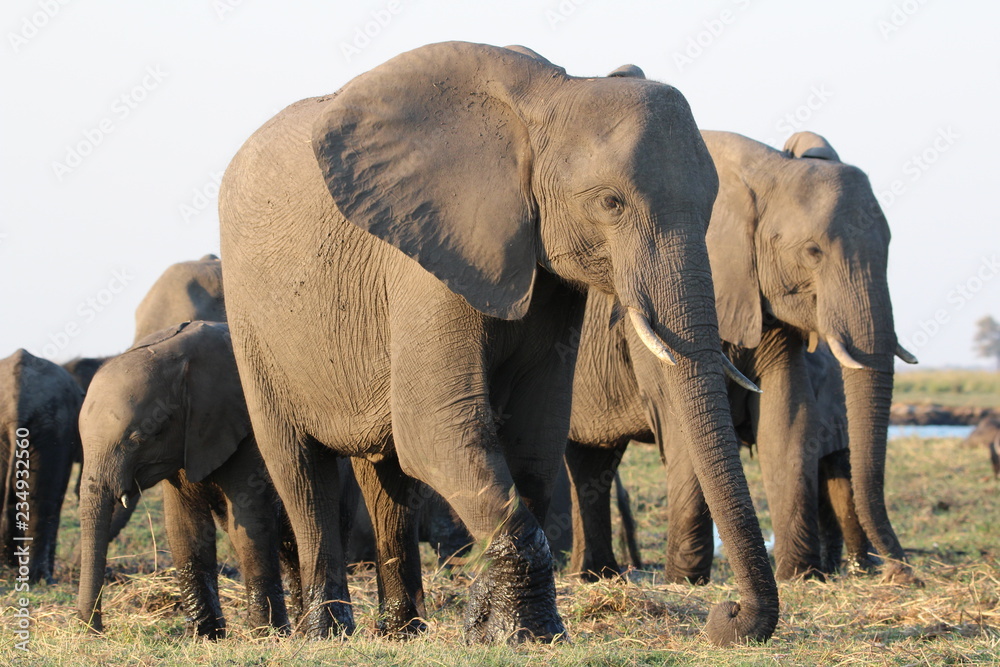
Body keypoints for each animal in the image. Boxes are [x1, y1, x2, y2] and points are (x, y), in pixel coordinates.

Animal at [76, 321, 302, 638]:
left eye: (141, 438)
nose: (93, 629)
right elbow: (185, 528)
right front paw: (204, 635)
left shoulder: (247, 430)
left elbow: (250, 523)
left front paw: (265, 635)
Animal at [219, 41, 778, 646]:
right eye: (611, 202)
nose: (727, 615)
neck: (551, 100)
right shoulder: (429, 257)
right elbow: (434, 428)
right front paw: (520, 634)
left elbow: (535, 434)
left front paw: (502, 628)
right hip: (249, 320)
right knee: (300, 470)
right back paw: (327, 633)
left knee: (386, 477)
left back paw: (401, 632)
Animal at [562, 124, 917, 585]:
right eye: (813, 252)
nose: (904, 574)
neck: (768, 173)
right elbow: (680, 417)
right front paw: (685, 581)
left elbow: (788, 418)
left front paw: (800, 574)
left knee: (590, 462)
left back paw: (596, 575)